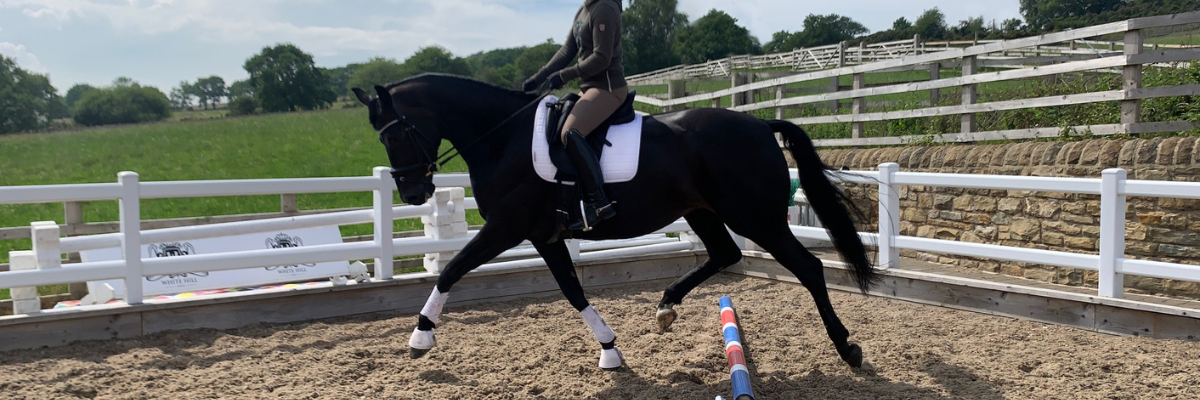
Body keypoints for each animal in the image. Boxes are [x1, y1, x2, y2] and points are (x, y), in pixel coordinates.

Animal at [350, 73, 880, 370]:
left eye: (395, 134)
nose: (413, 194)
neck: (503, 139)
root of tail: (760, 124)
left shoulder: (507, 227)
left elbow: (452, 269)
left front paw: (421, 336)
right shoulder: (543, 234)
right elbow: (572, 291)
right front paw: (610, 350)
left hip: (756, 218)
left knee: (808, 268)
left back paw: (848, 349)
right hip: (702, 212)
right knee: (725, 253)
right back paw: (666, 307)